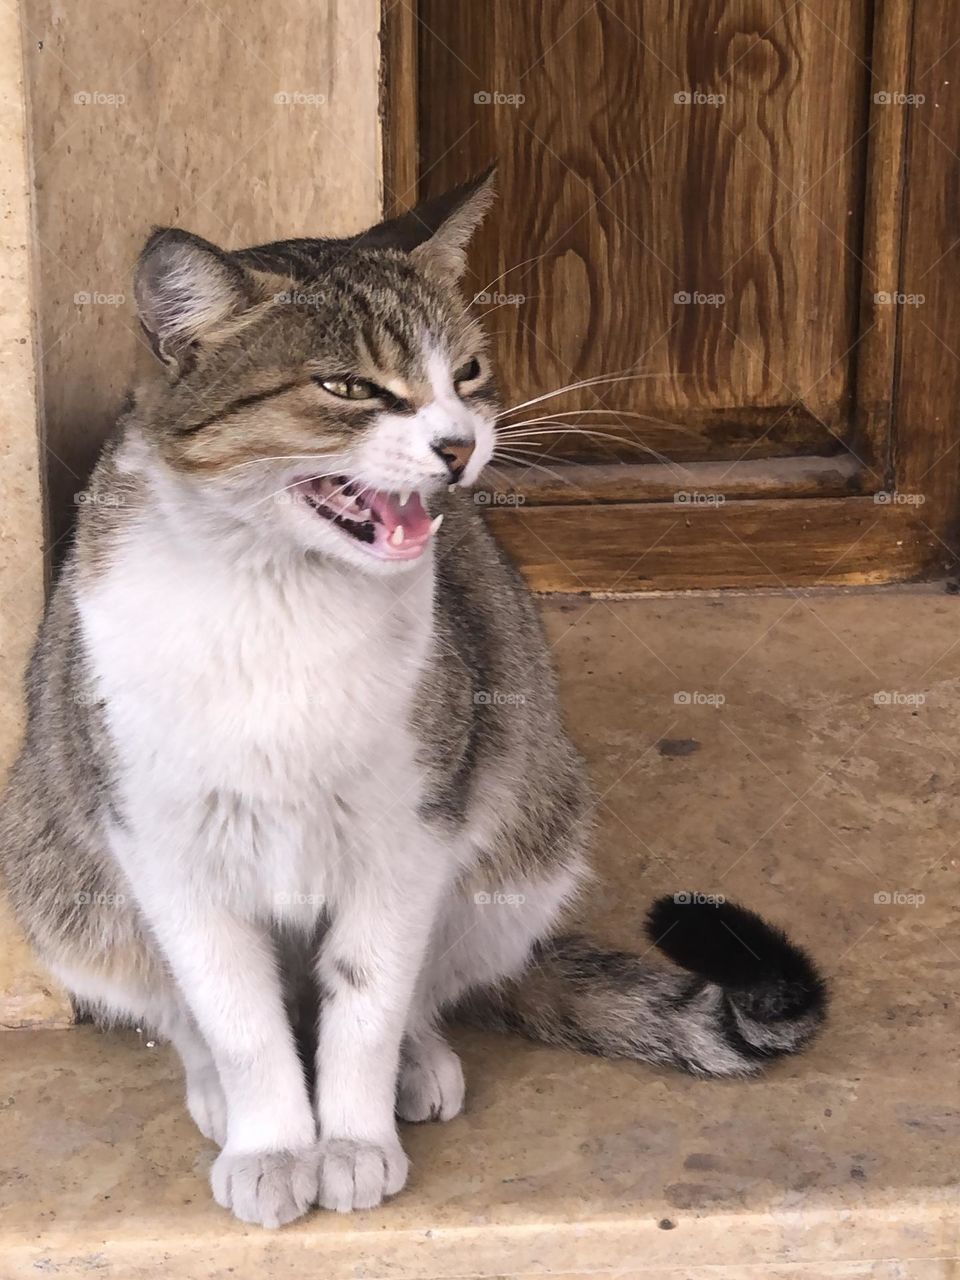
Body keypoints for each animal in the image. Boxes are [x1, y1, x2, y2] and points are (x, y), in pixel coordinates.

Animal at [0, 170, 829, 1218]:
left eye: (467, 373)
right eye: (349, 386)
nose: (458, 445)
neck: (278, 594)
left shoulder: (408, 829)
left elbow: (368, 998)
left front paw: (351, 1137)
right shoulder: (165, 841)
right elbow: (236, 1018)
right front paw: (274, 1142)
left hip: (524, 838)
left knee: (426, 987)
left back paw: (415, 1063)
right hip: (56, 874)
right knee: (177, 1004)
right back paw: (217, 1091)